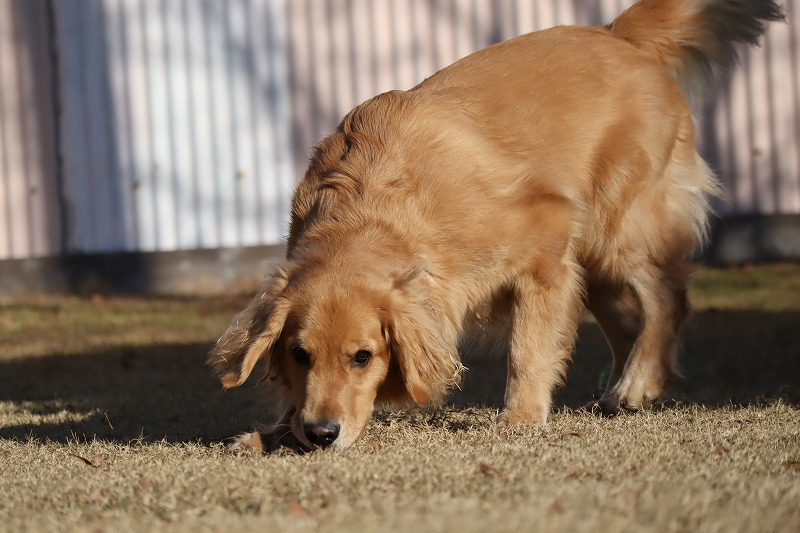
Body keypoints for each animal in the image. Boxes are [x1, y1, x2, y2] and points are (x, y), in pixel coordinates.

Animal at [209, 0, 783, 451]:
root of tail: (621, 35)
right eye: (299, 354)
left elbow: (528, 349)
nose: (322, 433)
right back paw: (620, 391)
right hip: (593, 265)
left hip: (615, 229)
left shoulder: (546, 243)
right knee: (626, 322)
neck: (373, 213)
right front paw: (272, 432)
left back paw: (638, 382)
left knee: (668, 300)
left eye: (363, 357)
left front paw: (521, 419)